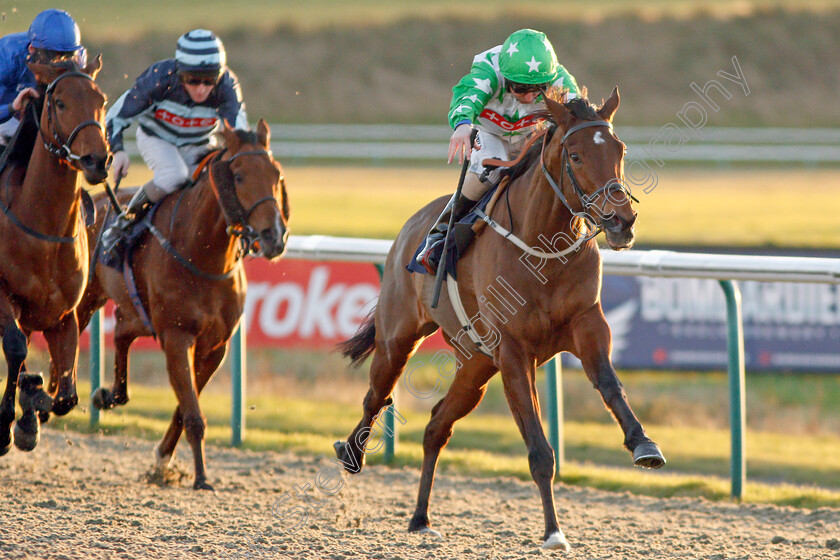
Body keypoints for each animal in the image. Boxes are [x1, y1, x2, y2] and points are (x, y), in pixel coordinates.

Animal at [0, 60, 110, 456]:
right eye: (59, 102)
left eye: (101, 99)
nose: (97, 159)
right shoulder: (3, 297)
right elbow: (15, 348)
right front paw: (7, 425)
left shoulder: (62, 315)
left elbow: (66, 396)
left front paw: (31, 413)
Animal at [77, 119, 290, 490]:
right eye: (239, 176)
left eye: (276, 175)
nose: (274, 236)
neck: (202, 254)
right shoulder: (177, 337)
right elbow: (192, 411)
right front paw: (201, 477)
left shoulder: (215, 346)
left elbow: (185, 405)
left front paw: (164, 460)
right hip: (84, 298)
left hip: (136, 311)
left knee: (122, 328)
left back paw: (110, 394)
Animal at [334, 88, 664, 552]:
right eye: (576, 155)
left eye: (620, 150)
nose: (622, 220)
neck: (542, 247)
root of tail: (409, 228)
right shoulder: (512, 351)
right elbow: (539, 450)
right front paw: (553, 531)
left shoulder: (587, 323)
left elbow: (610, 384)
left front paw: (643, 443)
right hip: (398, 338)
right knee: (376, 396)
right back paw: (351, 454)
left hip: (475, 366)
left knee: (436, 425)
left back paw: (420, 517)